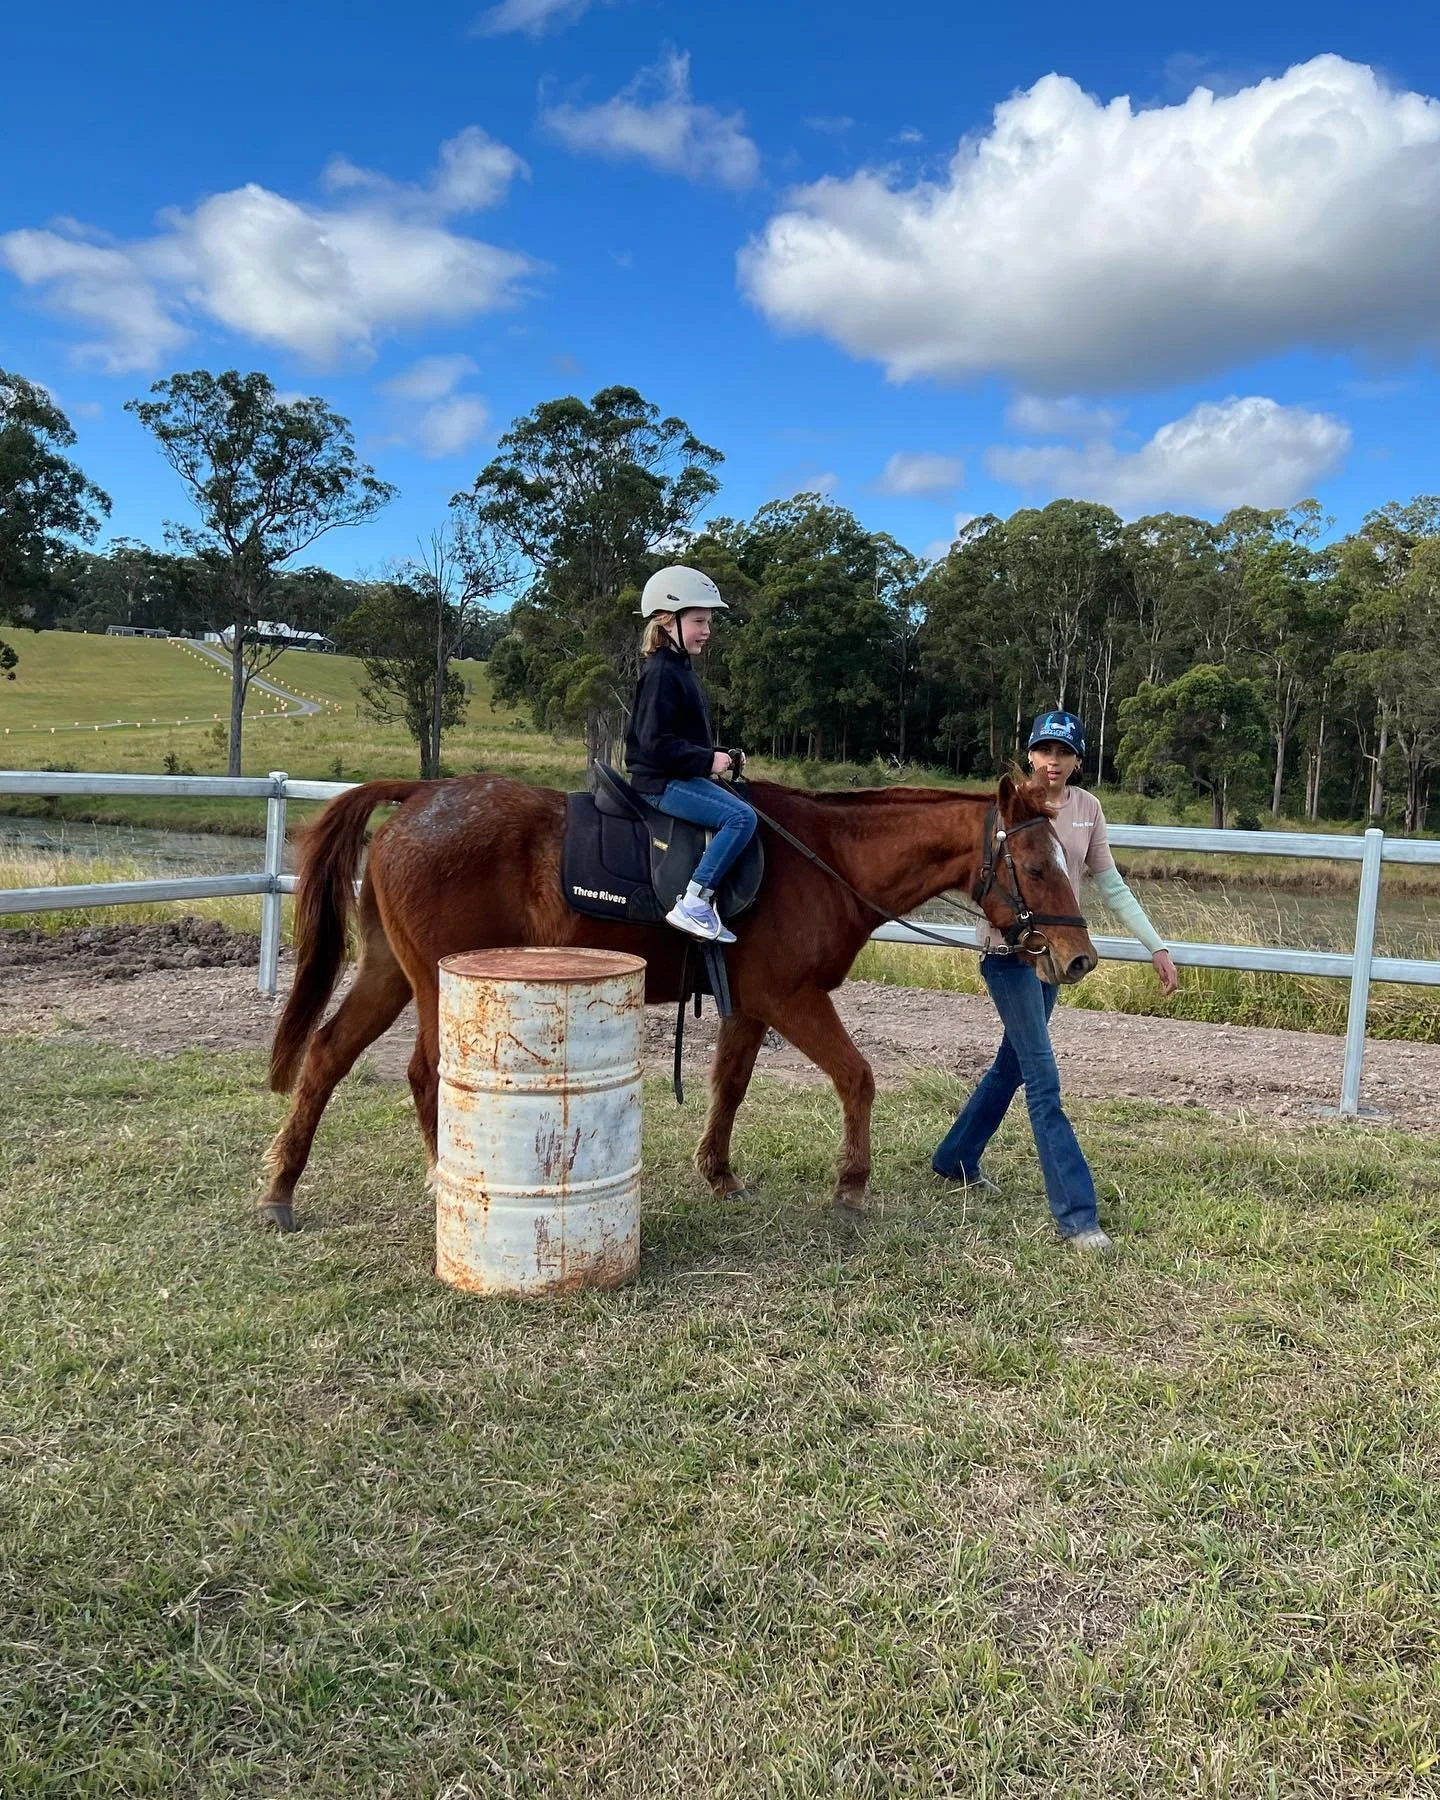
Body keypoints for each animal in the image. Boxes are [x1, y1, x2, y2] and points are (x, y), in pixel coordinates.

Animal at [261, 772, 1097, 1231]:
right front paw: (851, 1186)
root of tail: (420, 793)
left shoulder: (751, 1005)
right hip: (440, 985)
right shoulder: (791, 998)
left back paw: (281, 1188)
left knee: (328, 1055)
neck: (826, 859)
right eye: (1035, 865)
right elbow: (857, 1078)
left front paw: (718, 1173)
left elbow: (729, 1085)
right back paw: (447, 1177)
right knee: (427, 1076)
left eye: (1068, 860)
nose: (1078, 958)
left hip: (390, 973)